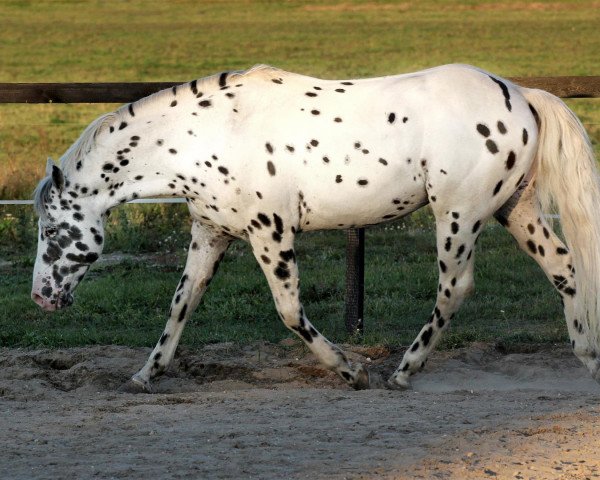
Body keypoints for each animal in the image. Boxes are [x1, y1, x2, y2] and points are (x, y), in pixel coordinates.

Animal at [30, 63, 600, 392]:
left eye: (54, 232)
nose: (41, 297)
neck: (207, 134)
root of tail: (521, 94)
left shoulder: (270, 233)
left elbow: (288, 312)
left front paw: (352, 371)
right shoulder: (210, 233)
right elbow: (181, 303)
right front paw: (145, 375)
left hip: (458, 214)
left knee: (455, 288)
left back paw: (402, 371)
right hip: (514, 209)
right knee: (565, 268)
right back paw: (588, 357)